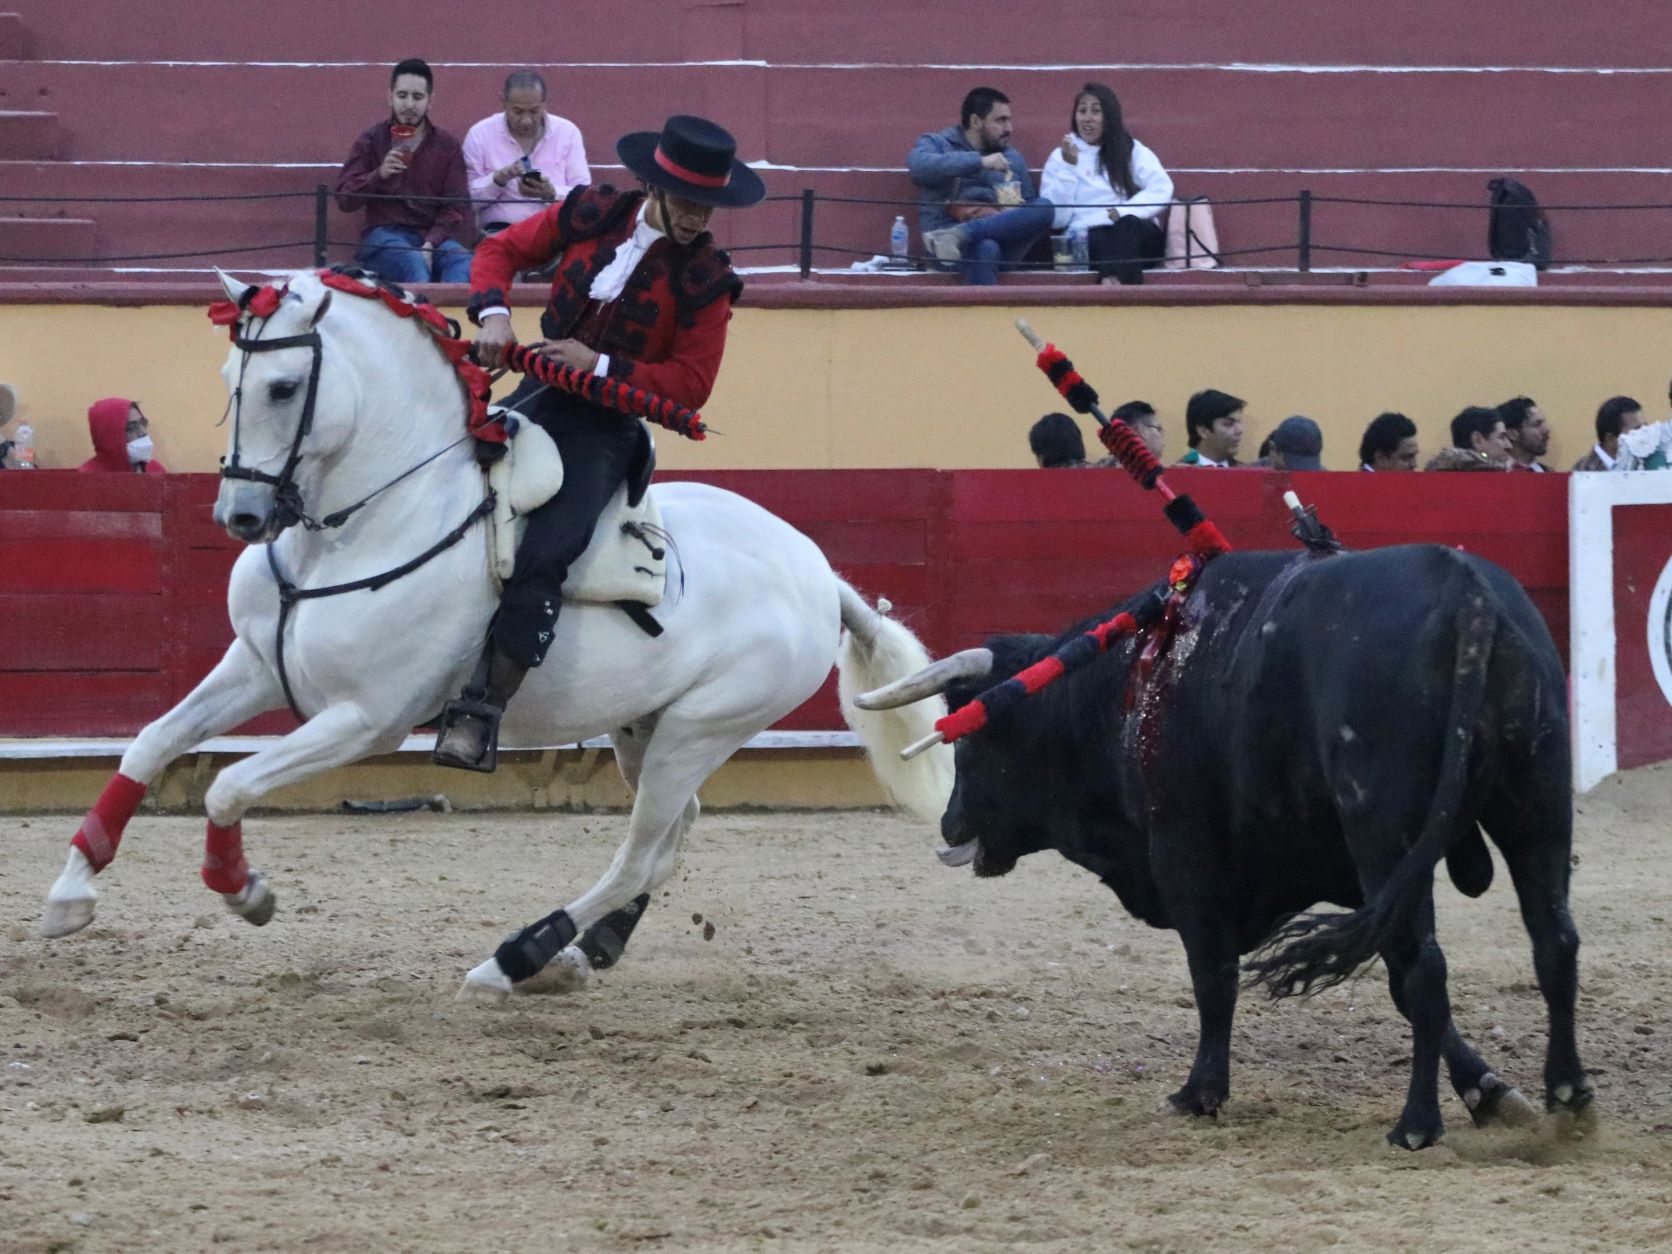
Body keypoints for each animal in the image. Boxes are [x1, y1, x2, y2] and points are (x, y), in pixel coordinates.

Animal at [41, 268, 951, 1001]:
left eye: (285, 386)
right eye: (233, 375)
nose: (240, 516)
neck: (365, 522)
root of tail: (819, 575)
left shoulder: (365, 719)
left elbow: (229, 784)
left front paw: (244, 890)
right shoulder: (256, 666)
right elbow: (151, 743)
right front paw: (68, 897)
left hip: (704, 727)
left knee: (638, 850)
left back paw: (511, 960)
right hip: (647, 727)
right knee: (672, 834)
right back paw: (582, 953)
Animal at [856, 543, 1589, 1149]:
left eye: (971, 736)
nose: (949, 823)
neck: (1126, 689)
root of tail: (1466, 594)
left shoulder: (1189, 864)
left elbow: (1214, 977)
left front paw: (1199, 1093)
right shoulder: (1361, 885)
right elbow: (1399, 986)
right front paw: (1491, 1093)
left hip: (1387, 834)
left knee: (1432, 969)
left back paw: (1416, 1125)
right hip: (1536, 807)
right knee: (1551, 941)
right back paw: (1567, 1094)